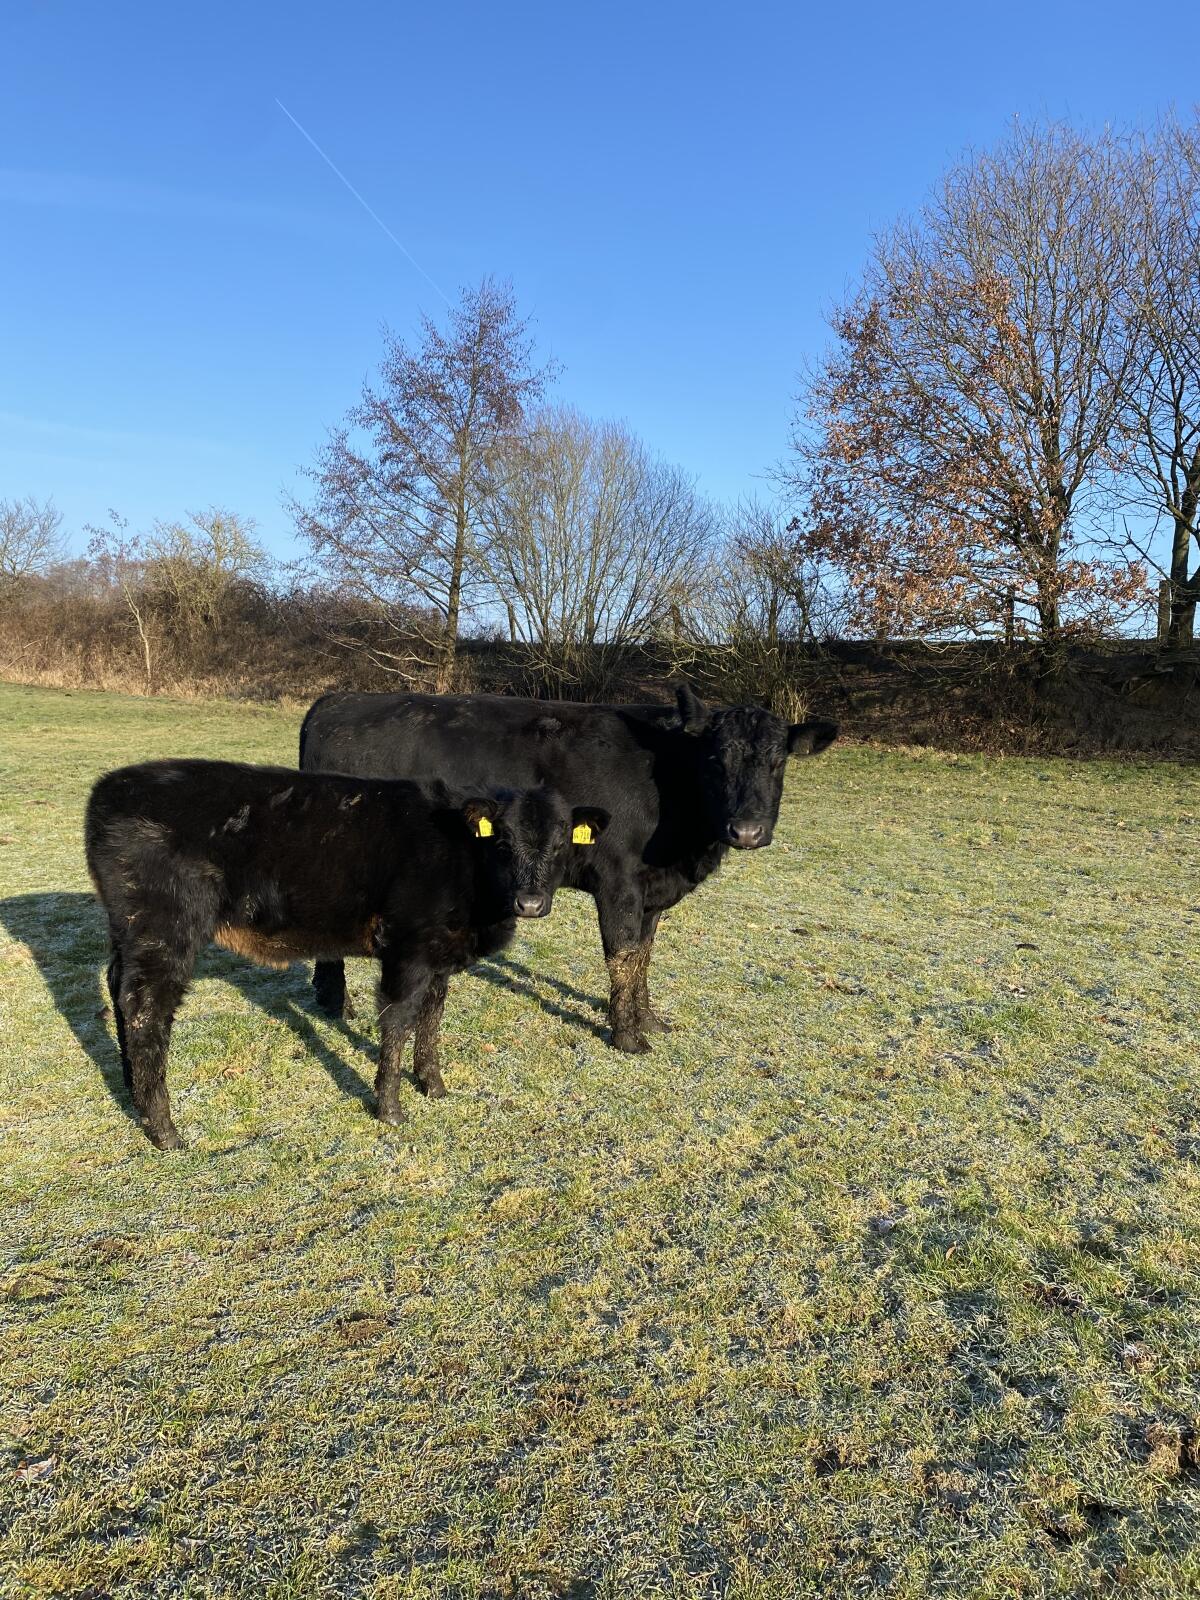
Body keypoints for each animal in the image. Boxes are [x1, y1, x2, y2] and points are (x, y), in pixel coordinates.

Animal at [85, 759, 608, 1148]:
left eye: (560, 841)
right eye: (502, 840)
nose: (531, 903)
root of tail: (111, 787)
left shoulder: (440, 953)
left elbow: (432, 1018)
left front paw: (434, 1085)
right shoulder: (407, 950)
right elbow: (398, 1021)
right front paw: (390, 1109)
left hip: (128, 931)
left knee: (118, 988)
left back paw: (132, 1091)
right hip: (164, 929)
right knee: (147, 1009)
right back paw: (165, 1130)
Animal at [300, 686, 837, 1054]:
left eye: (778, 761)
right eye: (715, 757)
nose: (746, 830)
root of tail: (339, 699)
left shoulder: (651, 895)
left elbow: (643, 956)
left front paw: (650, 1021)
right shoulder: (619, 881)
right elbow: (622, 956)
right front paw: (628, 1038)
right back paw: (336, 1002)